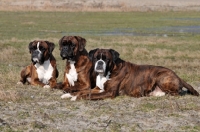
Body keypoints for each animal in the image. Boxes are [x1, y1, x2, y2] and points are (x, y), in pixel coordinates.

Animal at [61, 48, 199, 100]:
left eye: (107, 59)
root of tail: (177, 75)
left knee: (177, 93)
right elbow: (83, 91)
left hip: (160, 76)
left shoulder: (109, 93)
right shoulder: (98, 89)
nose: (100, 63)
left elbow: (88, 95)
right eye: (96, 58)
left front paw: (76, 97)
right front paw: (69, 94)